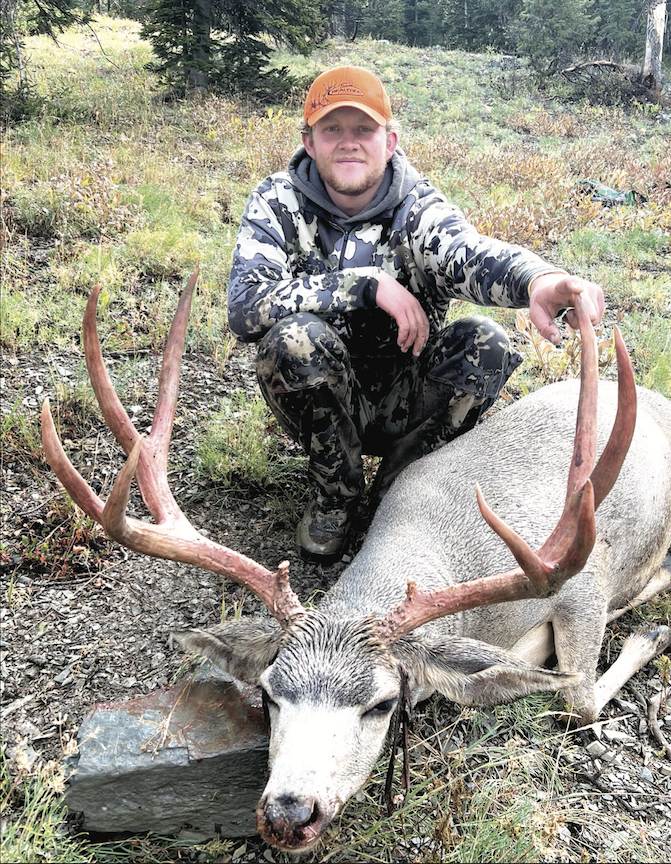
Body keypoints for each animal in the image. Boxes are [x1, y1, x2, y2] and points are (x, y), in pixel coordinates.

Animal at [42, 270, 671, 853]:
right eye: (269, 692)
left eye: (381, 704)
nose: (289, 814)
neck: (429, 539)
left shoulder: (584, 583)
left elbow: (575, 701)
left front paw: (623, 639)